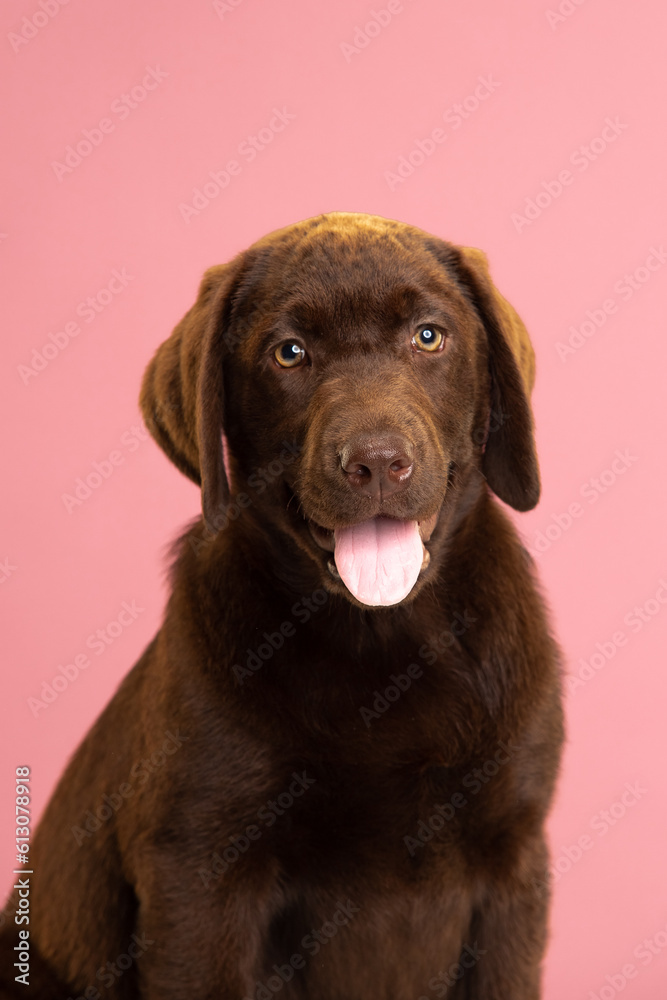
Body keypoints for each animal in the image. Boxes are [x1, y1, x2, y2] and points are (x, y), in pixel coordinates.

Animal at [0, 213, 564, 1000]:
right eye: (289, 353)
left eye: (429, 336)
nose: (377, 461)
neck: (380, 636)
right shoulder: (198, 877)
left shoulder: (514, 858)